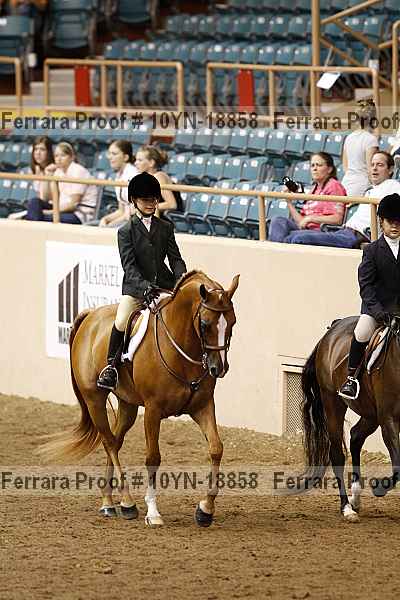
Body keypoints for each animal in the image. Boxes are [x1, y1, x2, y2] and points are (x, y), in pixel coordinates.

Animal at [39, 270, 239, 527]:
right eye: (205, 324)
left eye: (232, 322)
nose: (219, 368)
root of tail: (90, 315)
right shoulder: (153, 410)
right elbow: (153, 457)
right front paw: (153, 512)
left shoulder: (202, 406)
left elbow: (216, 448)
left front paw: (205, 509)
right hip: (94, 399)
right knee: (109, 443)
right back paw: (127, 503)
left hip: (128, 405)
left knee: (115, 441)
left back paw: (108, 502)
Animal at [287, 315, 400, 523]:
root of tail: (334, 327)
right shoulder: (389, 418)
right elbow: (398, 466)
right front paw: (379, 488)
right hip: (333, 403)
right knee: (337, 454)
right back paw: (347, 507)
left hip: (371, 414)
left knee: (355, 436)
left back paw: (355, 498)